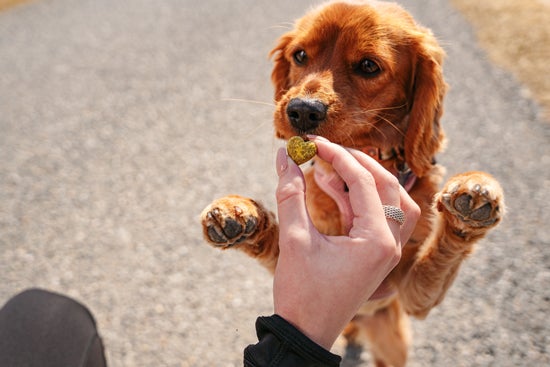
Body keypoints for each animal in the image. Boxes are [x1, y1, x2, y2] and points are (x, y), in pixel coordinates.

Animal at [202, 1, 504, 366]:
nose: (302, 110)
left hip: (393, 340)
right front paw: (239, 211)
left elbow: (441, 252)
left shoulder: (415, 296)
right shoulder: (289, 259)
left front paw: (472, 193)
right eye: (300, 55)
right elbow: (272, 236)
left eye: (368, 66)